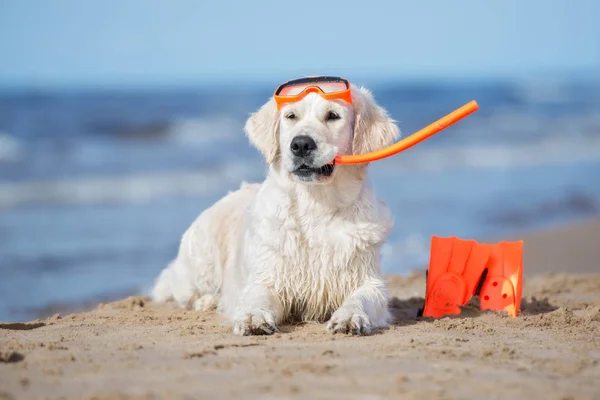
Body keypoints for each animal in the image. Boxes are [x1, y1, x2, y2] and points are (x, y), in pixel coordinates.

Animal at [152, 83, 400, 336]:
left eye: (333, 116)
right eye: (291, 116)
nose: (301, 144)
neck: (316, 205)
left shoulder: (367, 279)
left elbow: (362, 298)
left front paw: (349, 317)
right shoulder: (268, 278)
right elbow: (257, 297)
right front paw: (253, 318)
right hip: (201, 264)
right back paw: (207, 301)